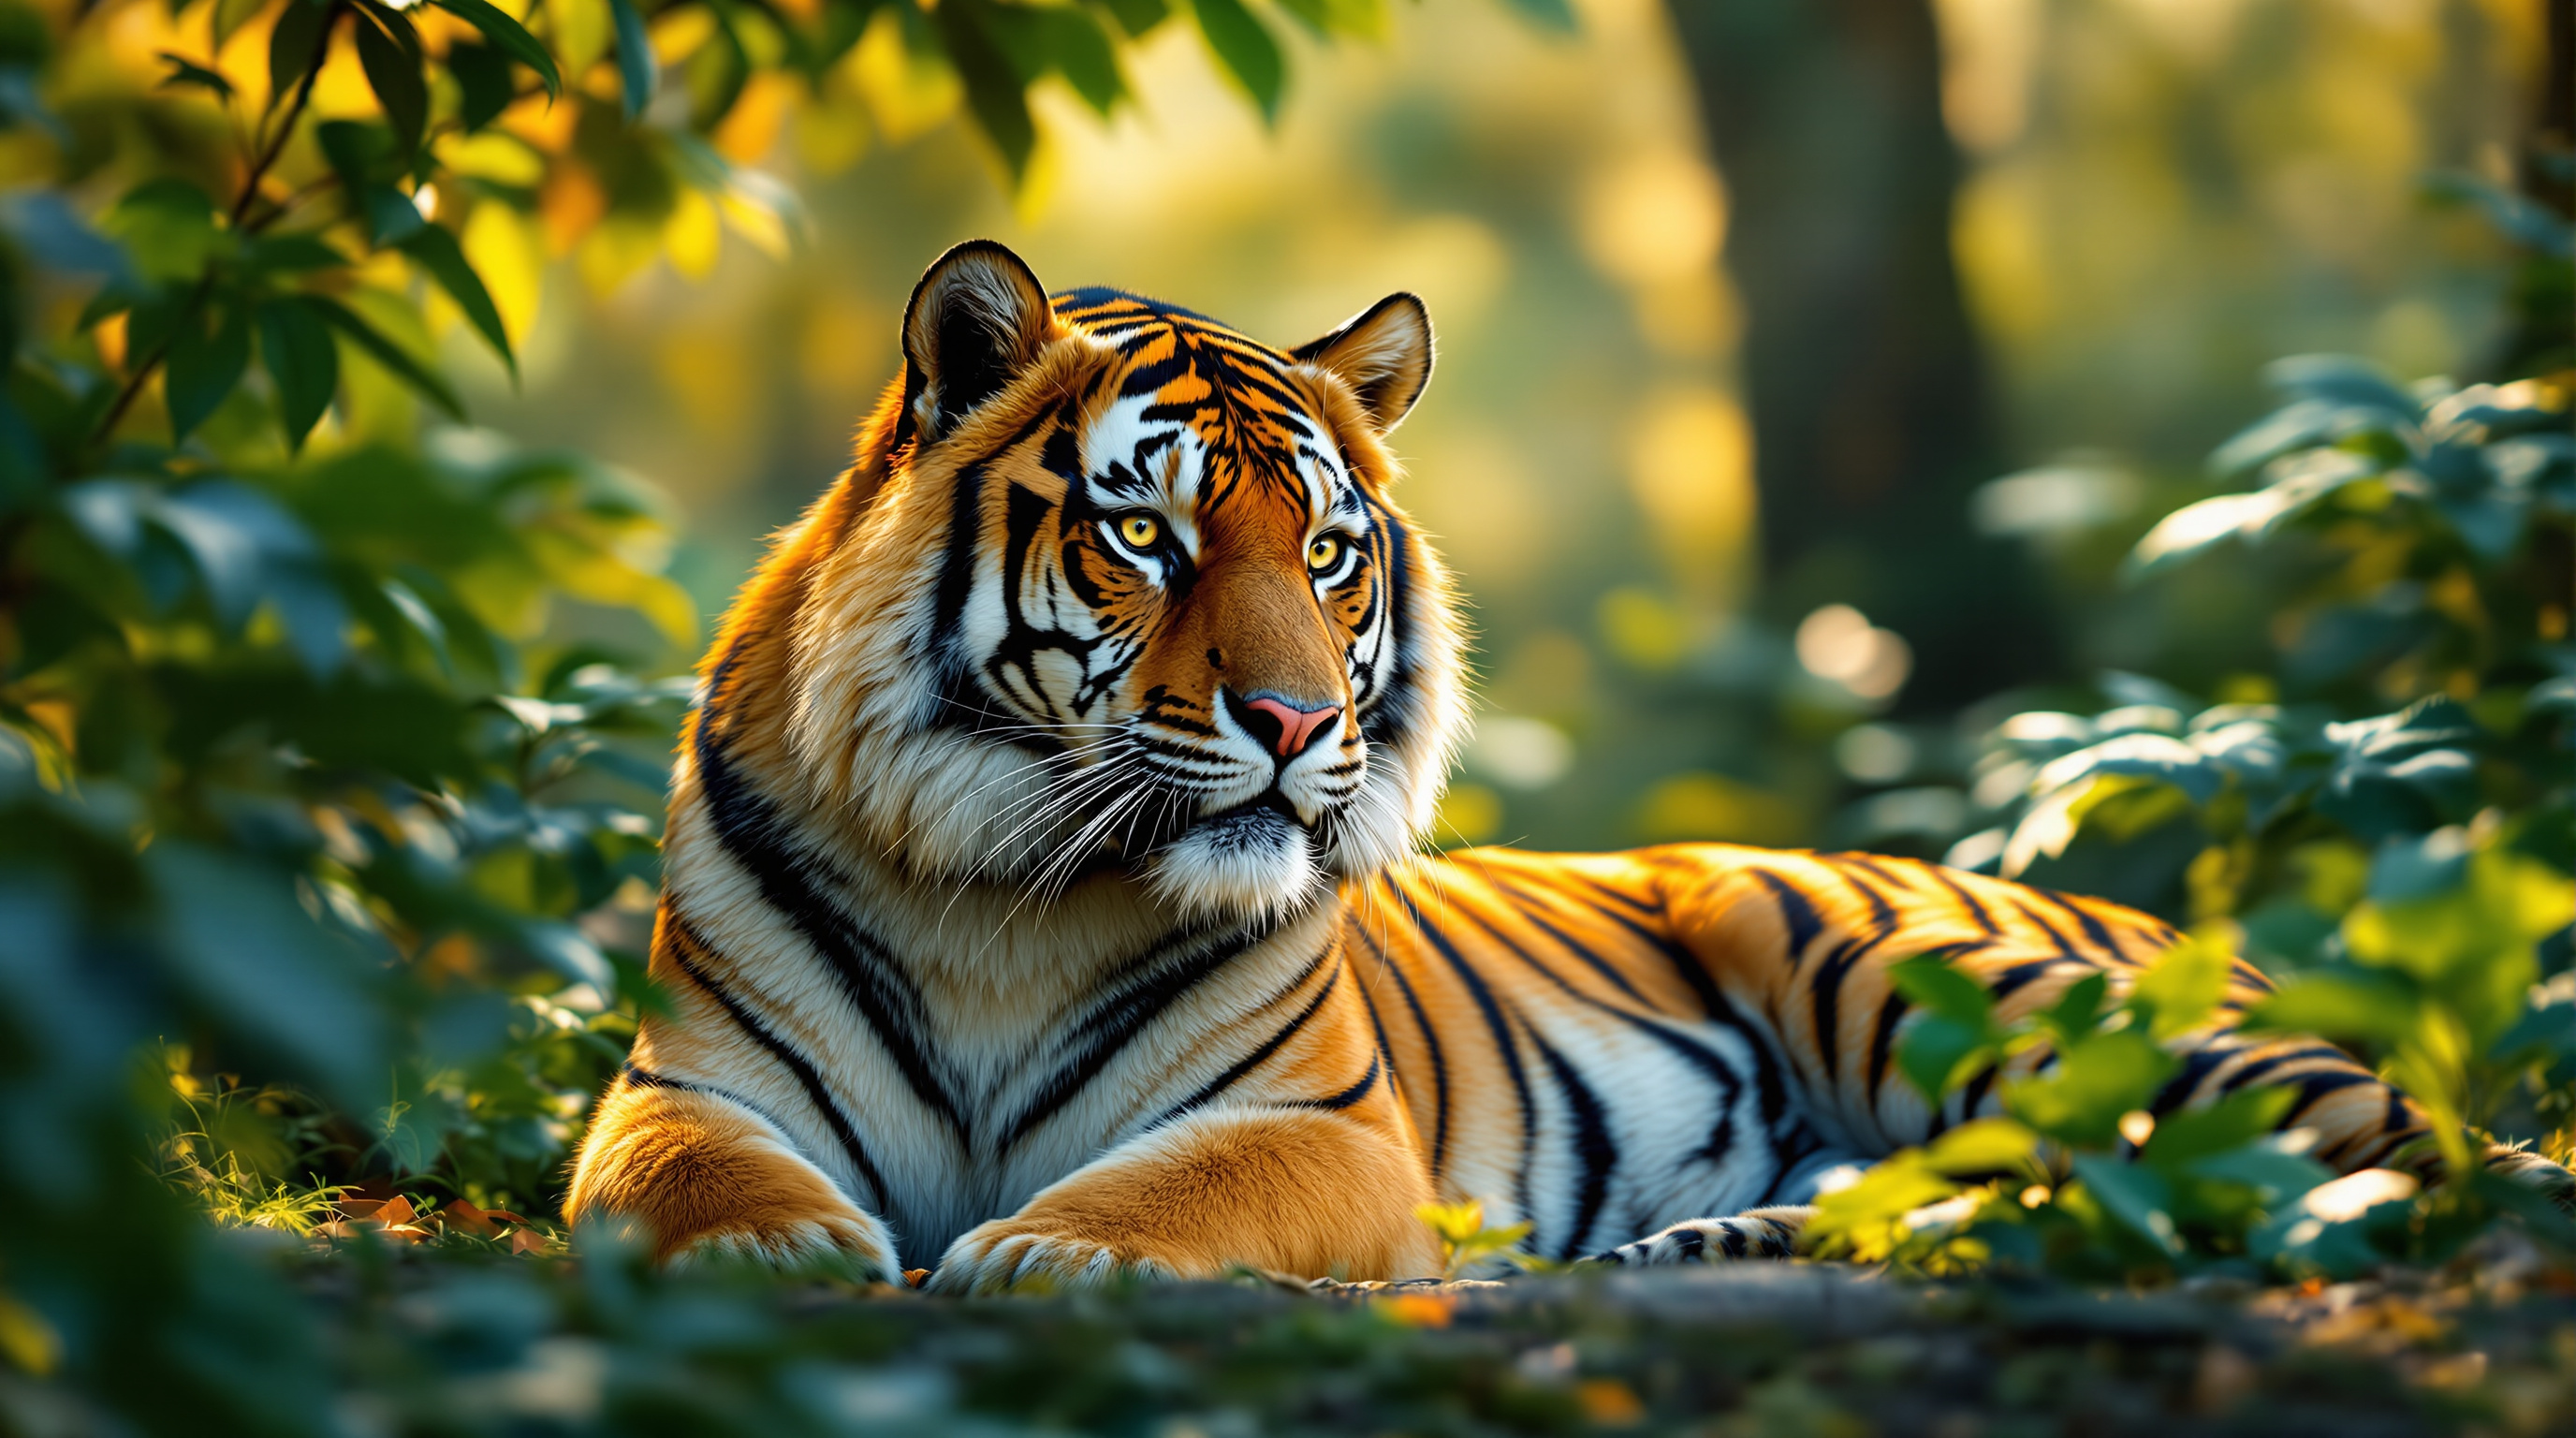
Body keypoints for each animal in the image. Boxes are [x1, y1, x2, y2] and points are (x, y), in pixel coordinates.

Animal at [565, 239, 2571, 1292]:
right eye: (1146, 534)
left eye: (1327, 552)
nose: (1295, 726)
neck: (1004, 885)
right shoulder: (684, 1083)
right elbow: (684, 1181)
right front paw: (776, 1260)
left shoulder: (1321, 1128)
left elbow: (1168, 1191)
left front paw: (1039, 1255)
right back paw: (1732, 1242)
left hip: (1910, 961)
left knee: (2389, 1156)